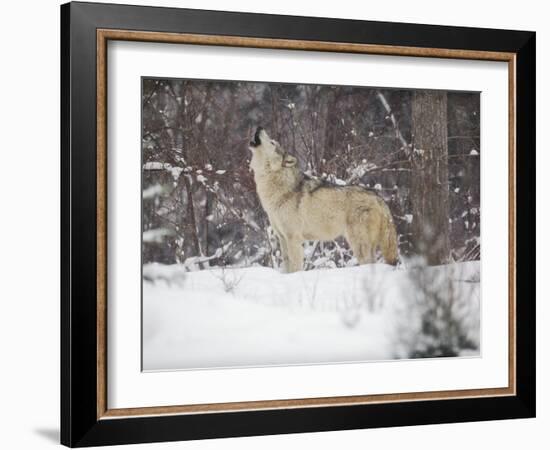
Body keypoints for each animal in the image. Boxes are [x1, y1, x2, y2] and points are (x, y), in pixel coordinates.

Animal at [249, 127, 396, 274]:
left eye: (272, 142)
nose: (259, 127)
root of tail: (378, 198)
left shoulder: (293, 238)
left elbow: (295, 268)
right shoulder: (282, 238)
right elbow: (287, 267)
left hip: (358, 244)